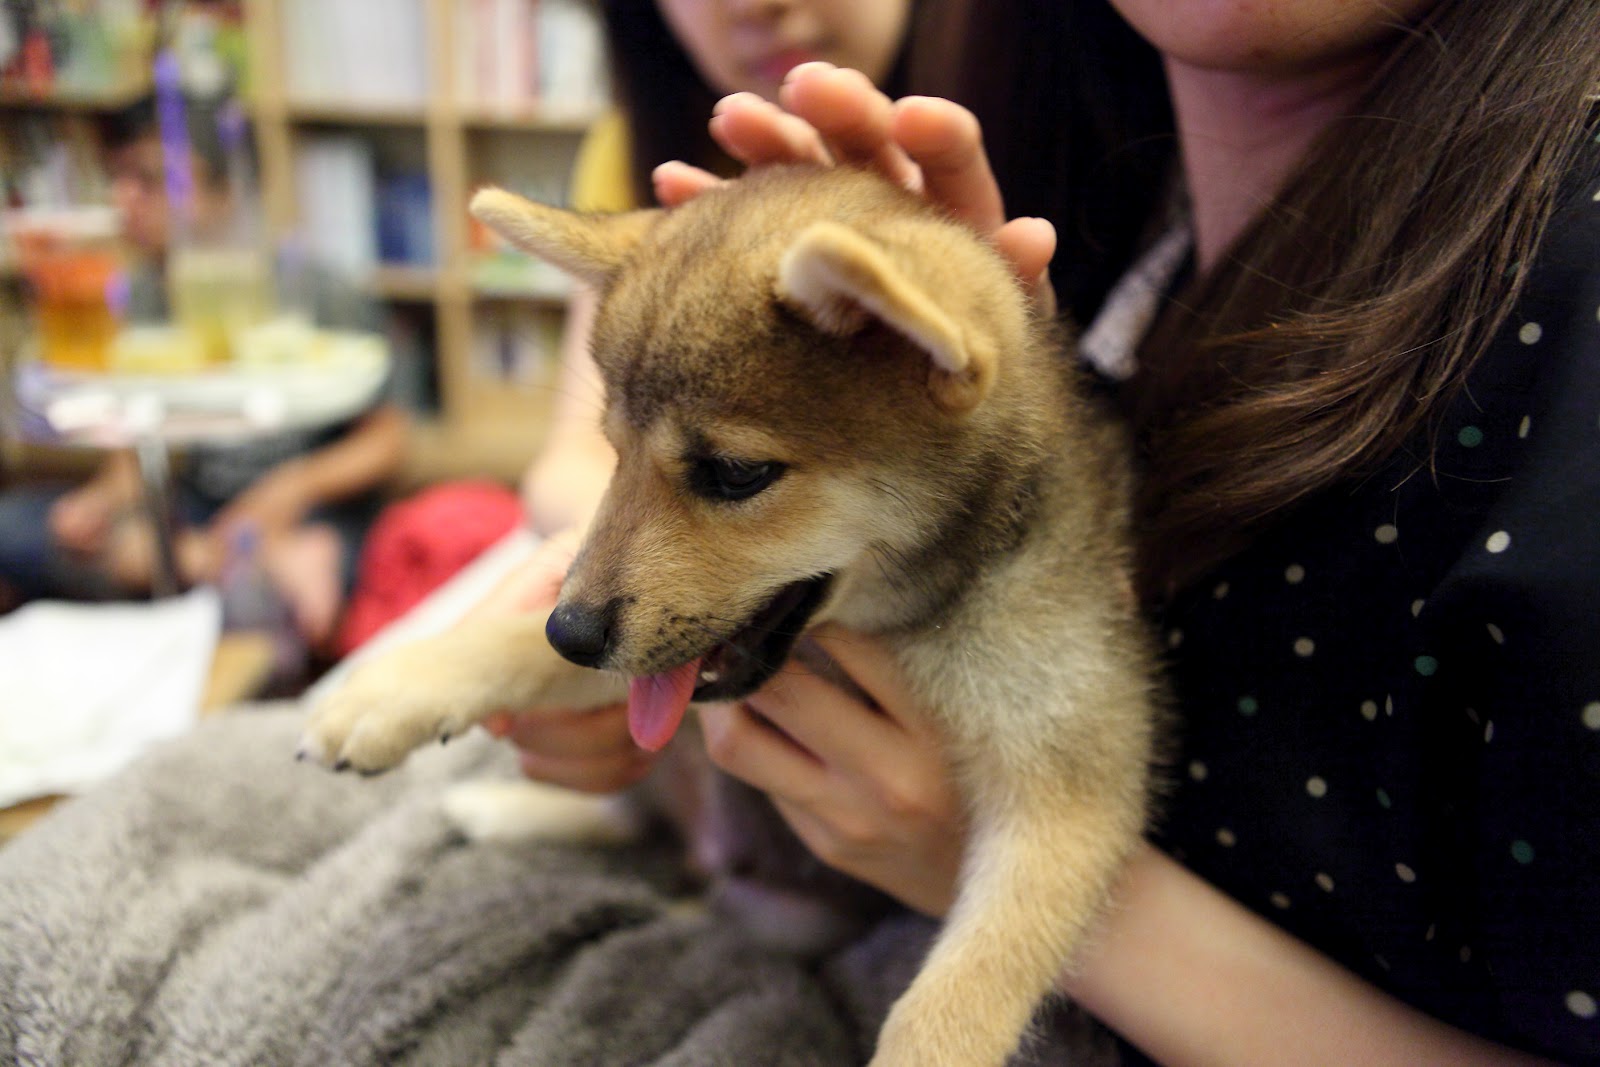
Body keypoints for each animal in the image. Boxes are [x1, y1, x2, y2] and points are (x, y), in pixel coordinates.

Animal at [301, 164, 1162, 1066]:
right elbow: (512, 647)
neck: (904, 618)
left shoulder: (1066, 785)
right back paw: (509, 808)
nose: (571, 633)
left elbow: (956, 999)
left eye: (736, 472)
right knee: (638, 820)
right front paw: (399, 687)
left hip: (789, 912)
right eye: (613, 453)